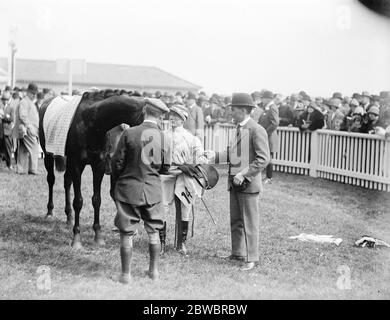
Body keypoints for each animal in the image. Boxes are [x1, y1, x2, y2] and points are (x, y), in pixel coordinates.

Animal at [39, 90, 145, 250]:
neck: (92, 122)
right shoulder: (78, 164)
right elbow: (78, 201)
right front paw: (77, 239)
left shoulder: (98, 165)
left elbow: (97, 200)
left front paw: (98, 236)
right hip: (48, 155)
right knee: (51, 180)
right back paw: (50, 212)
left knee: (67, 182)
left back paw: (69, 217)